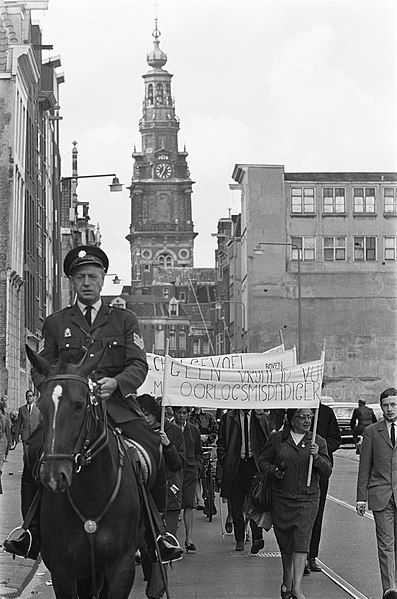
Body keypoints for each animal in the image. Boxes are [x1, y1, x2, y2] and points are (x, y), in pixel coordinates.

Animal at [27, 346, 145, 599]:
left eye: (79, 405)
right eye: (41, 406)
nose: (53, 476)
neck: (92, 493)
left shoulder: (122, 568)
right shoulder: (63, 572)